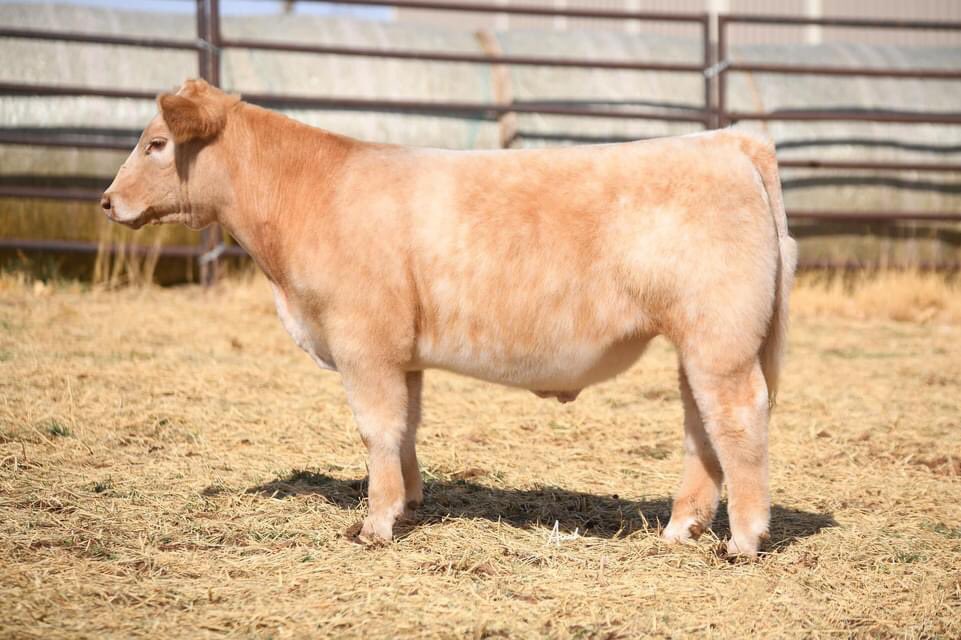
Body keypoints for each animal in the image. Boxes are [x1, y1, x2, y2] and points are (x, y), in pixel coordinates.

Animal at [102, 79, 797, 558]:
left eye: (157, 144)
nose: (107, 201)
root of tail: (729, 140)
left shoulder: (362, 341)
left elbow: (377, 429)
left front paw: (375, 524)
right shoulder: (401, 353)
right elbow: (406, 426)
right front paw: (408, 503)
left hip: (721, 341)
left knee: (738, 420)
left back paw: (744, 541)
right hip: (698, 346)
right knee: (701, 429)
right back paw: (681, 528)